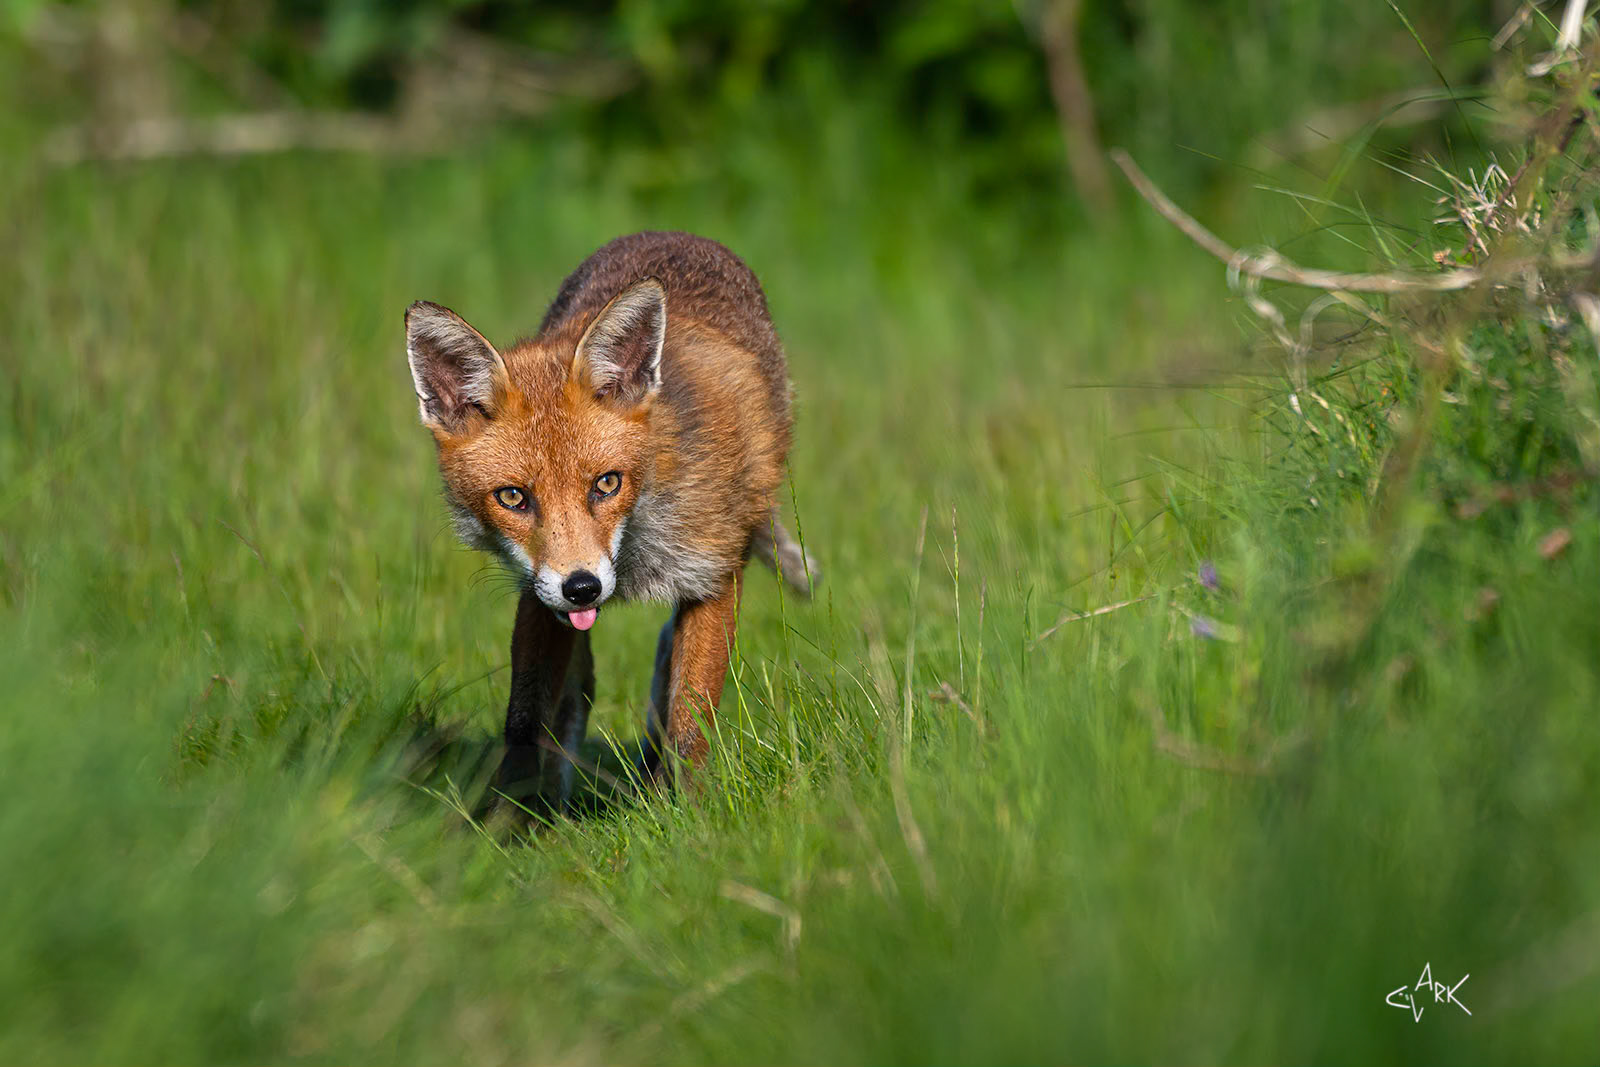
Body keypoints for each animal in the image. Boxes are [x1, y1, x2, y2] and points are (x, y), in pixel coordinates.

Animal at [405, 231, 818, 815]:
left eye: (606, 483)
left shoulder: (714, 575)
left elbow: (691, 720)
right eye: (513, 497)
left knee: (664, 661)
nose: (583, 587)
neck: (636, 552)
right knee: (576, 703)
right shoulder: (539, 596)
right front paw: (514, 821)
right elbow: (524, 721)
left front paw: (687, 814)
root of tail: (672, 233)